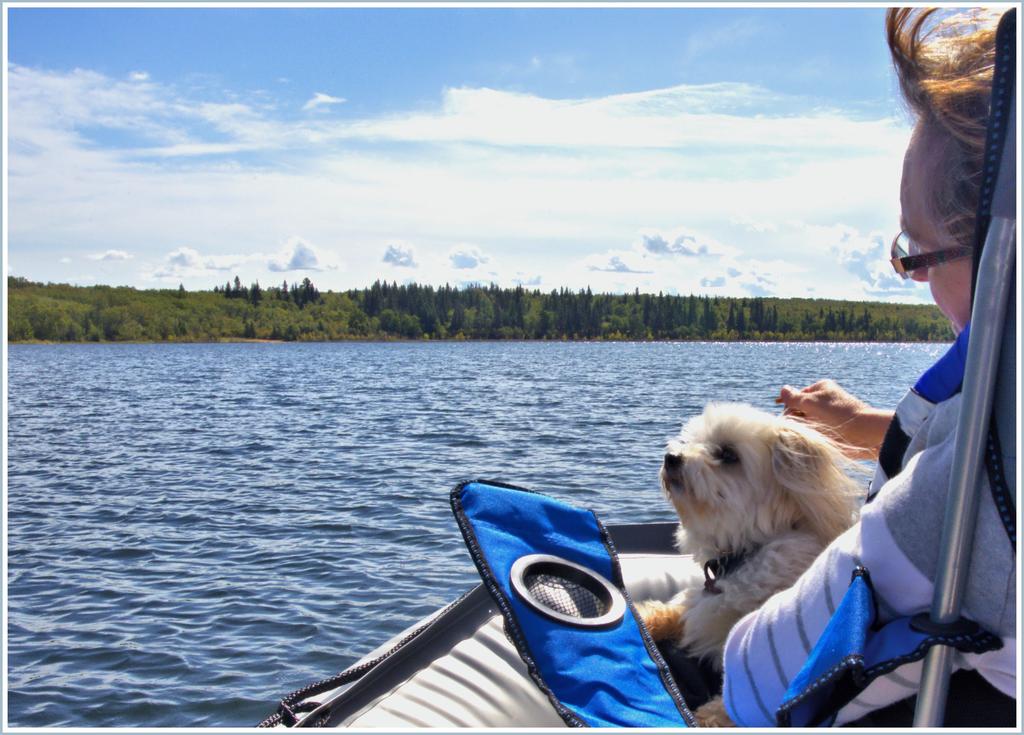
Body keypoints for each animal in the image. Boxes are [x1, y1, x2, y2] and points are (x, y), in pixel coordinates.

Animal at [637, 402, 863, 727]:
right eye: (693, 439)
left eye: (728, 454)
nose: (671, 457)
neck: (747, 553)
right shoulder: (699, 605)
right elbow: (665, 612)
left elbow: (733, 701)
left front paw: (703, 718)